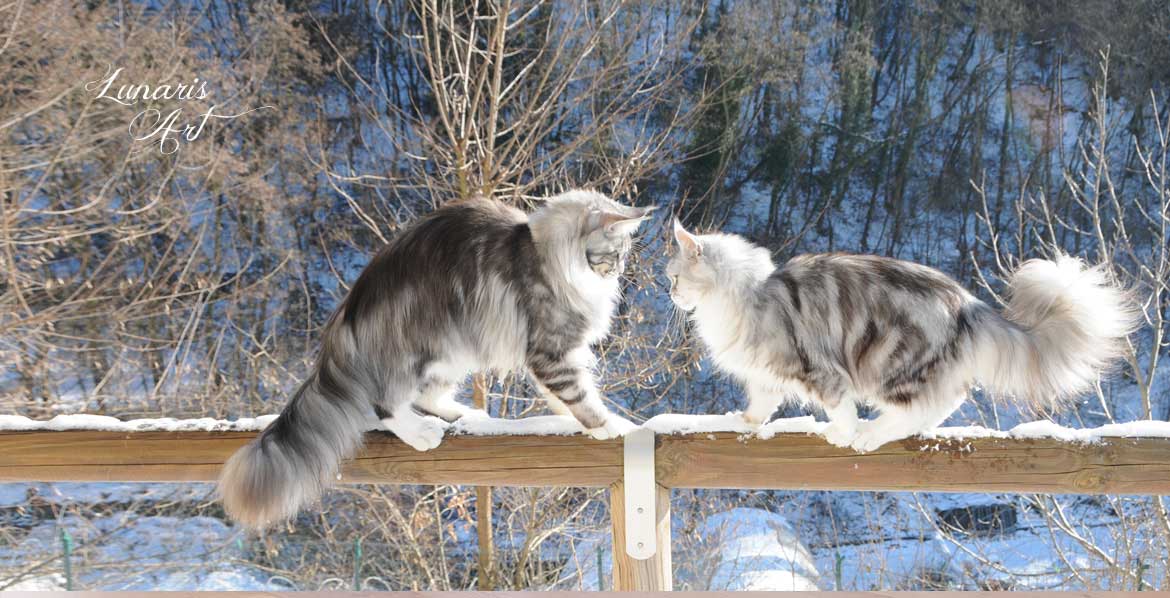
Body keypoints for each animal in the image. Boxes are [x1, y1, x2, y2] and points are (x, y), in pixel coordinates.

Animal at [219, 190, 655, 528]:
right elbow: (578, 394)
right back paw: (421, 433)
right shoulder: (552, 348)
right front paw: (611, 426)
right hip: (422, 346)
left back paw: (465, 414)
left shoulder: (557, 351)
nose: (618, 272)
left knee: (427, 397)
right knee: (385, 405)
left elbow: (561, 399)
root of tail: (347, 315)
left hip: (456, 352)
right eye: (616, 252)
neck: (547, 253)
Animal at [673, 220, 1137, 454]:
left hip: (889, 362)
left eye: (675, 276)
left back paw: (870, 436)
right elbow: (758, 408)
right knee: (944, 402)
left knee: (921, 406)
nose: (669, 291)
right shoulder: (766, 377)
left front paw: (843, 434)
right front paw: (739, 421)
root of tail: (968, 302)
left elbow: (840, 409)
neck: (748, 294)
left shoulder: (818, 370)